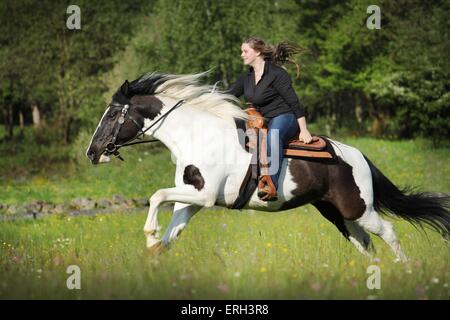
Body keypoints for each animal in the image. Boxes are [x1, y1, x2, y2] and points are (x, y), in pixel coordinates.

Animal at [85, 71, 450, 262]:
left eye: (111, 114)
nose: (92, 152)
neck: (197, 136)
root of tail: (357, 155)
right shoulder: (191, 201)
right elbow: (170, 233)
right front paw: (155, 247)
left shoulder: (203, 197)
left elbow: (156, 195)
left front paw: (148, 236)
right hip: (337, 213)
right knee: (364, 243)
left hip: (358, 208)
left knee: (387, 231)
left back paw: (404, 269)